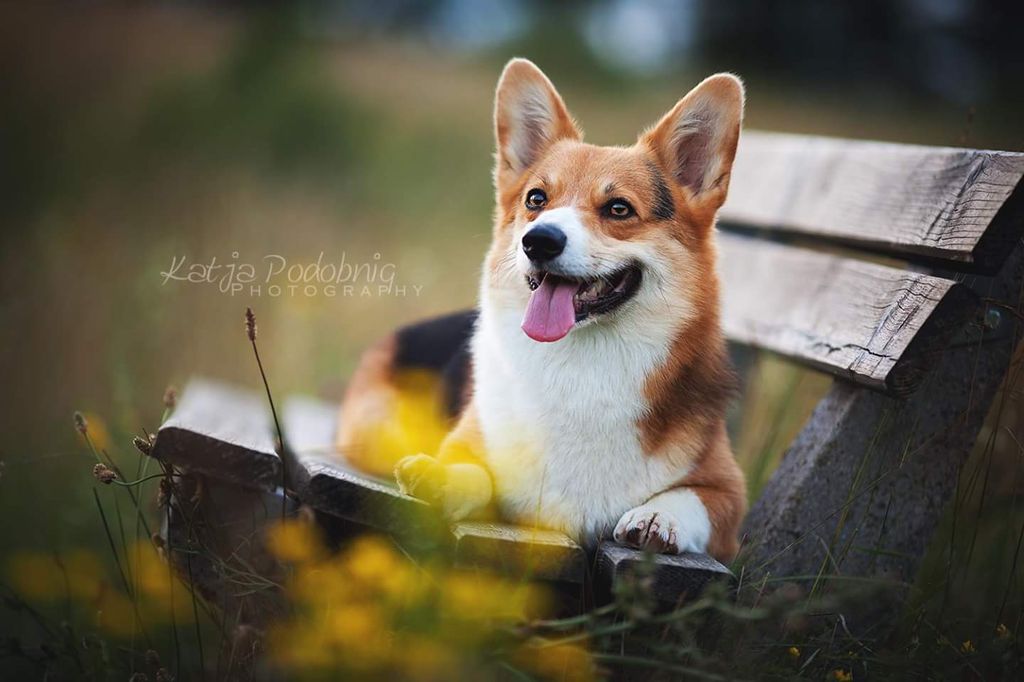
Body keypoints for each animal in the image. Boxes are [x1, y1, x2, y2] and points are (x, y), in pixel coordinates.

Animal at [336, 58, 747, 561]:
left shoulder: (730, 497)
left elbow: (694, 498)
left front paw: (658, 517)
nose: (539, 240)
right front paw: (441, 477)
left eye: (618, 208)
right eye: (536, 199)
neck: (581, 363)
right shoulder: (472, 446)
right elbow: (475, 474)